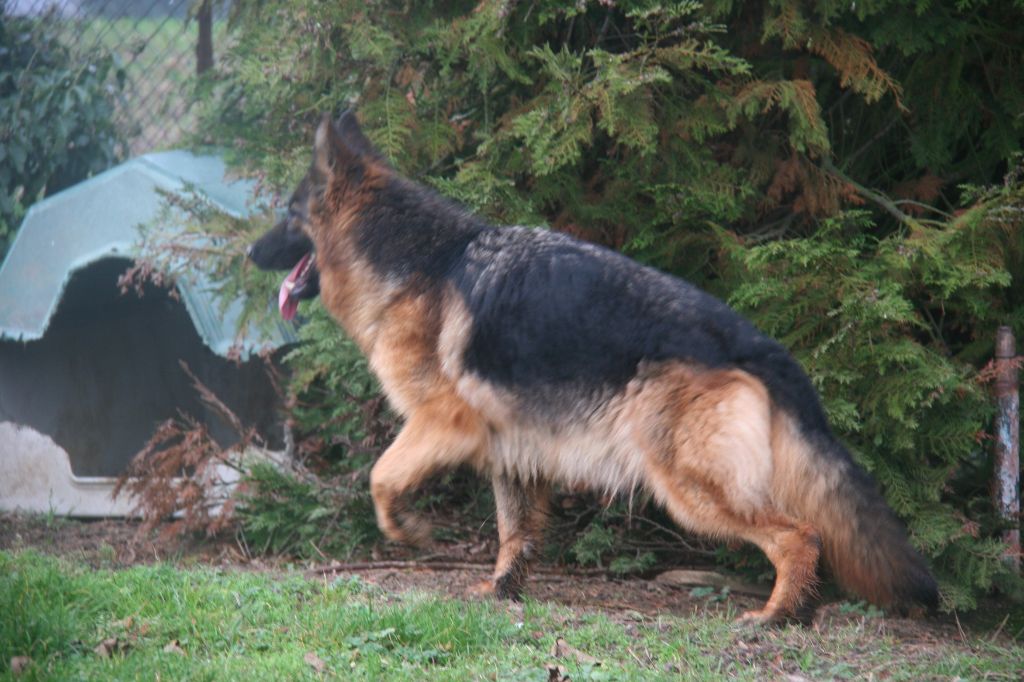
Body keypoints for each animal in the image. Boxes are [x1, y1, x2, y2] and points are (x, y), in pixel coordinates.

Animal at [248, 111, 938, 623]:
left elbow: (380, 478)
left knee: (800, 535)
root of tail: (754, 341)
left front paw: (409, 531)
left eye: (288, 215)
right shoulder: (511, 448)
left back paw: (776, 616)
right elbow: (515, 532)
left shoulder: (441, 424)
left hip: (688, 488)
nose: (250, 253)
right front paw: (502, 592)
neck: (417, 259)